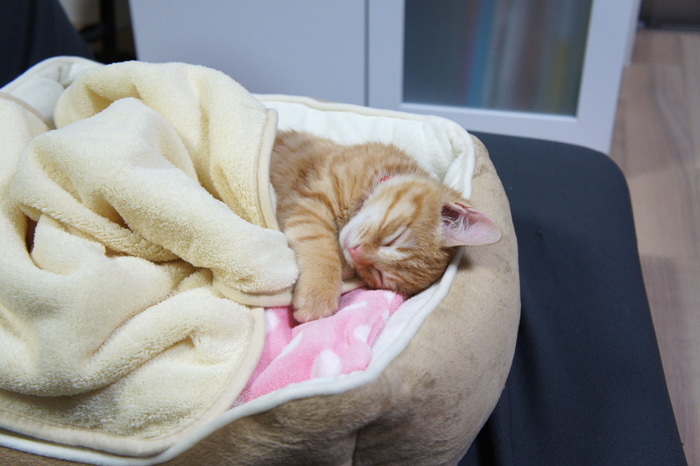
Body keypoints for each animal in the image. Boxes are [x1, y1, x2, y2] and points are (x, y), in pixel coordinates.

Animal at [270, 130, 501, 323]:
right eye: (393, 240)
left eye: (379, 274)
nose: (355, 252)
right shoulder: (310, 202)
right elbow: (322, 249)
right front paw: (319, 294)